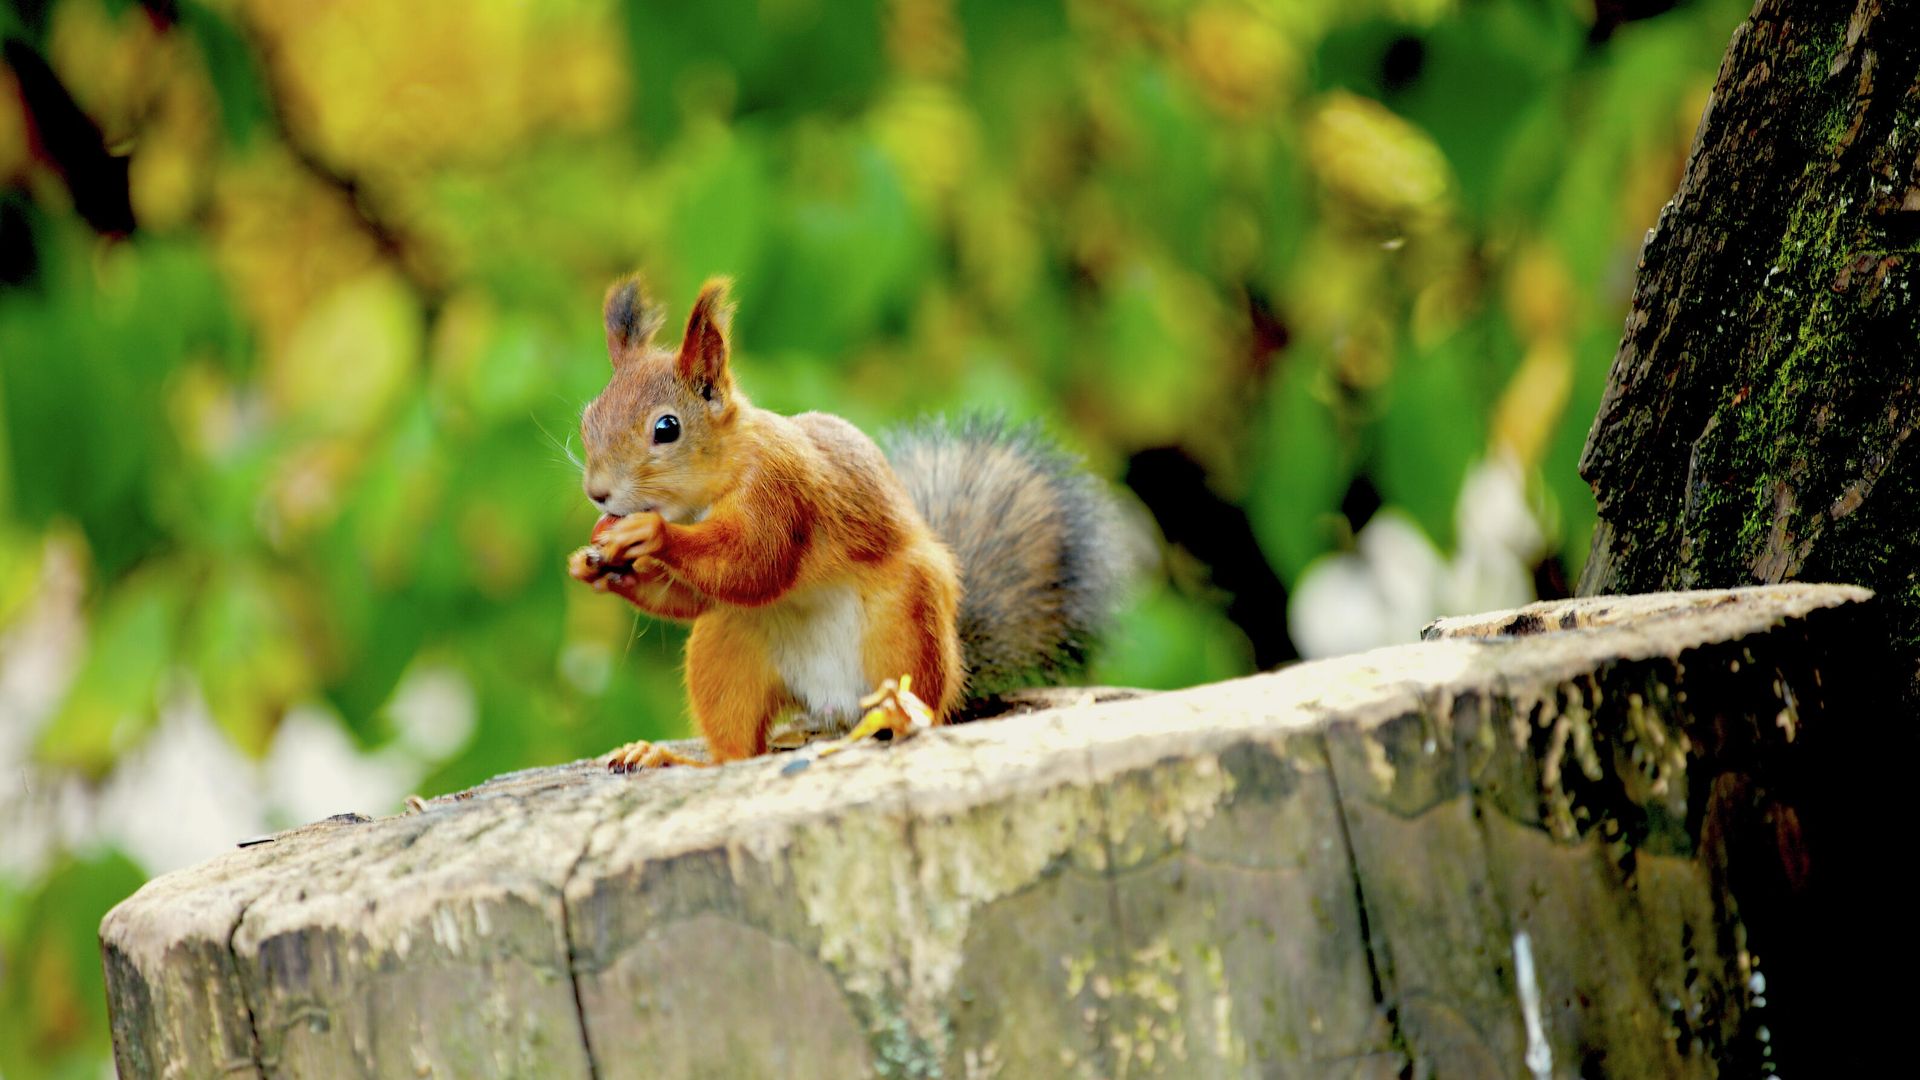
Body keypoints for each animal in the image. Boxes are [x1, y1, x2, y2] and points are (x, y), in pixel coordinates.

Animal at [567, 274, 1131, 770]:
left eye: (667, 428)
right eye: (587, 419)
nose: (597, 493)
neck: (714, 484)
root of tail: (835, 708)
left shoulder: (780, 491)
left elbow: (753, 563)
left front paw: (649, 533)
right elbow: (697, 596)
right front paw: (595, 566)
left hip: (906, 626)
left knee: (920, 704)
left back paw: (901, 719)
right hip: (728, 648)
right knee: (737, 750)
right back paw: (668, 758)